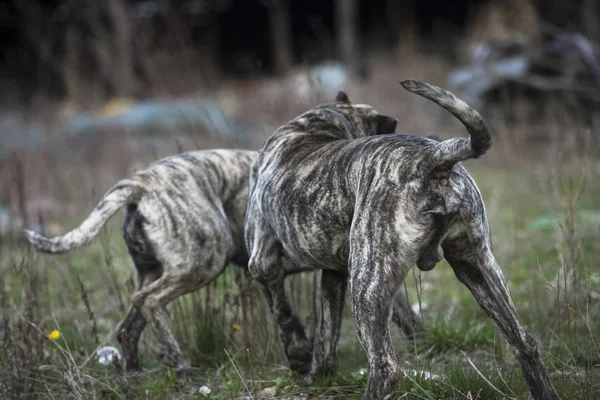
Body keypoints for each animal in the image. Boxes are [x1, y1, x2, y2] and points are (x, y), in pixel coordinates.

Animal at [244, 82, 556, 400]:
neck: (318, 126)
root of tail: (432, 156)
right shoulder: (334, 275)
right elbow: (327, 334)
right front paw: (318, 372)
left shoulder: (262, 263)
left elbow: (283, 312)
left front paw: (298, 356)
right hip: (476, 268)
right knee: (524, 342)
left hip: (367, 287)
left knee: (386, 366)